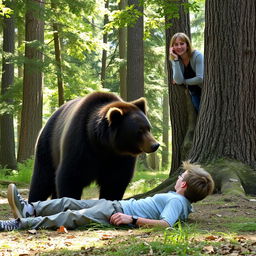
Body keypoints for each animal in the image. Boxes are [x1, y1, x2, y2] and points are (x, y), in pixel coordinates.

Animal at [28, 91, 160, 202]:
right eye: (139, 131)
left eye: (148, 128)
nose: (155, 145)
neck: (103, 147)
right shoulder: (79, 145)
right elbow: (70, 177)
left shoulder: (121, 158)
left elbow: (115, 182)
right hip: (48, 146)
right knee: (42, 180)